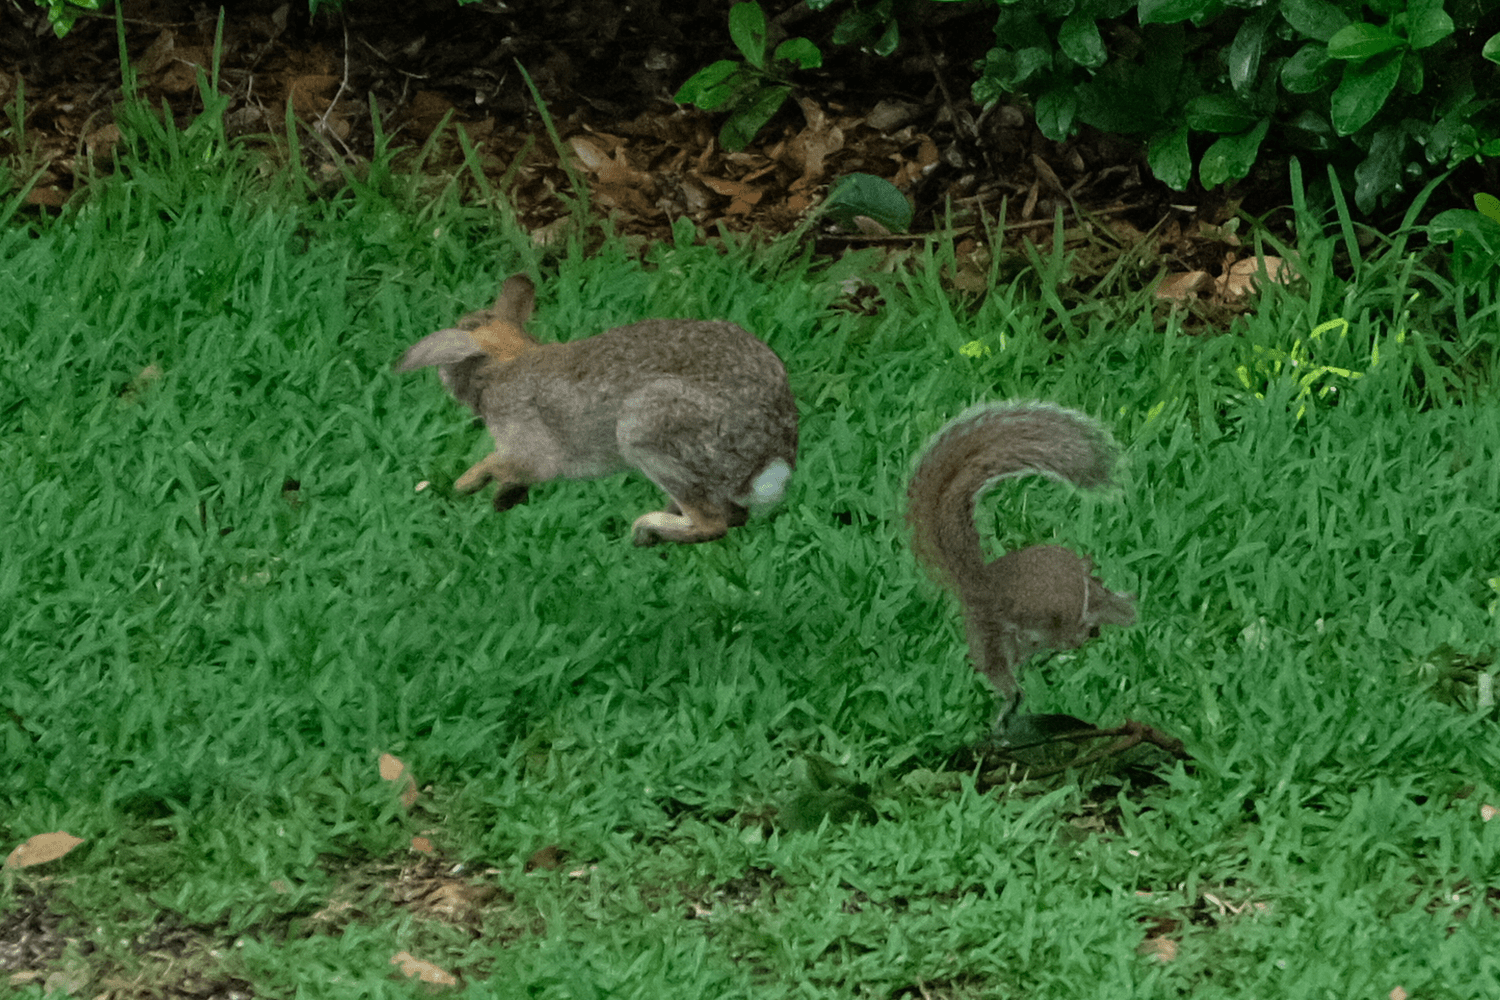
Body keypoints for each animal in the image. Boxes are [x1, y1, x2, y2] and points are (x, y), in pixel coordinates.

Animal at [395, 273, 799, 546]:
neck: (504, 363)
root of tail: (771, 454)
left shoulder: (528, 445)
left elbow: (506, 464)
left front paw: (465, 484)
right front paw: (502, 500)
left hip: (647, 431)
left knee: (713, 523)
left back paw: (645, 529)